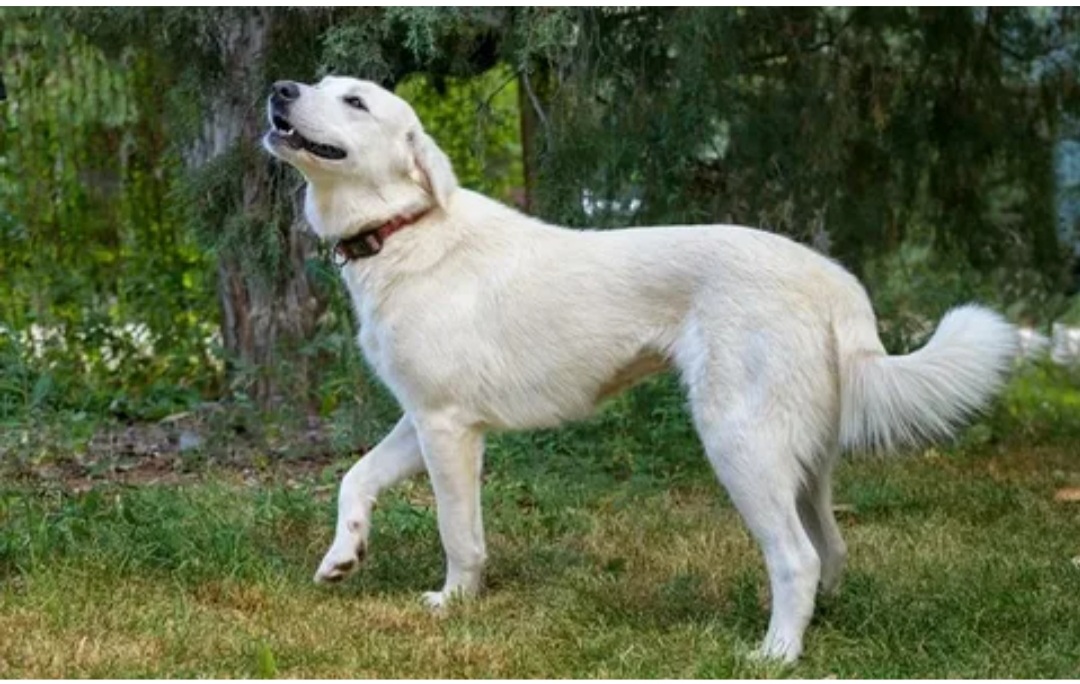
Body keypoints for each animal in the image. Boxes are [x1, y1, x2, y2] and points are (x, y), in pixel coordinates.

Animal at [262, 76, 1018, 662]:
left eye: (355, 101)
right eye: (321, 83)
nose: (280, 89)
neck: (405, 229)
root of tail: (836, 284)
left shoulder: (448, 428)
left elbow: (460, 535)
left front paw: (455, 603)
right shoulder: (419, 419)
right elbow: (355, 478)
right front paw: (343, 557)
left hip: (738, 443)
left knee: (797, 556)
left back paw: (774, 654)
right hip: (799, 462)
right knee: (830, 549)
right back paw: (809, 634)